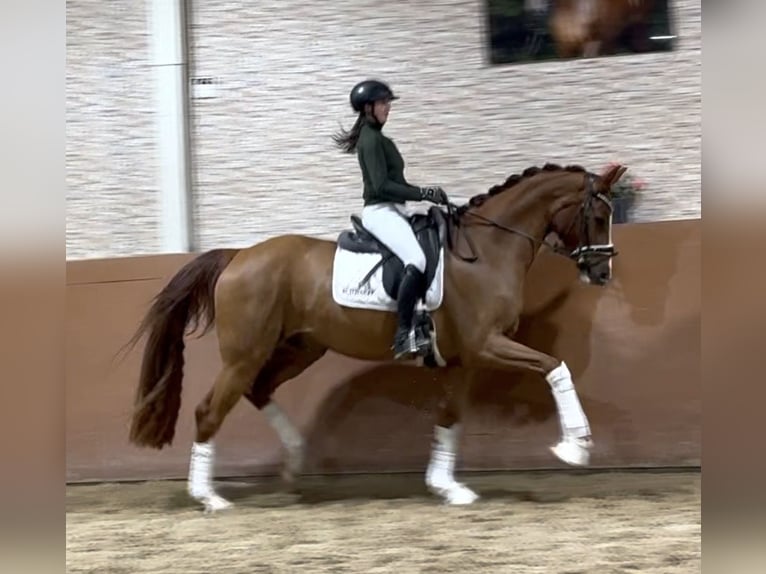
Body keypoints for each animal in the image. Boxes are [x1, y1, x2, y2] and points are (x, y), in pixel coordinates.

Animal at [126, 162, 627, 511]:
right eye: (598, 214)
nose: (601, 272)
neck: (486, 252)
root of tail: (237, 256)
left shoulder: (462, 359)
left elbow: (450, 418)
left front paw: (448, 487)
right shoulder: (487, 345)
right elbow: (555, 367)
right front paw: (575, 447)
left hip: (301, 348)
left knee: (259, 389)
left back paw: (295, 459)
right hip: (245, 354)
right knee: (210, 410)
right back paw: (209, 497)